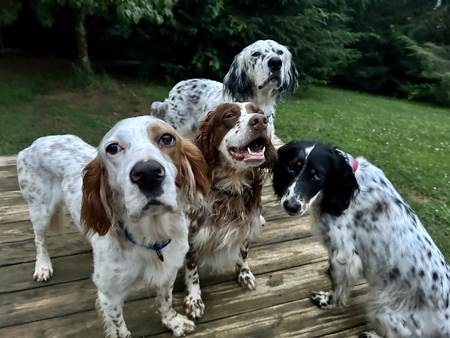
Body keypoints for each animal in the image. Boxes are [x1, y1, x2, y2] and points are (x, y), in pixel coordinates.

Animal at [183, 101, 278, 318]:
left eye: (259, 112)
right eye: (229, 115)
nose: (260, 121)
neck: (231, 185)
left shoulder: (246, 224)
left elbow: (243, 253)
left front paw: (244, 274)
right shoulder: (190, 235)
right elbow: (192, 270)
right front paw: (194, 299)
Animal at [270, 140, 450, 338]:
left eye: (318, 175)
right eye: (290, 168)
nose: (291, 206)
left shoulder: (345, 256)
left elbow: (338, 288)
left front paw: (327, 301)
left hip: (381, 308)